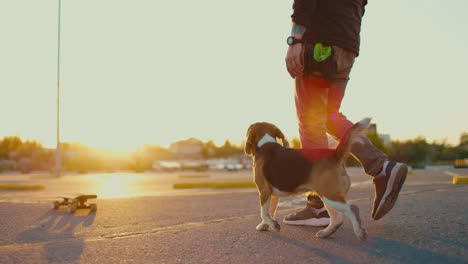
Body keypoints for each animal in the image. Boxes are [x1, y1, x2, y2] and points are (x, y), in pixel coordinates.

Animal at [243, 117, 372, 239]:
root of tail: (334, 155)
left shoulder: (264, 191)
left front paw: (274, 225)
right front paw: (264, 225)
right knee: (337, 219)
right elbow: (270, 211)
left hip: (329, 195)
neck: (264, 144)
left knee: (352, 209)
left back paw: (359, 232)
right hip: (328, 196)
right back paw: (325, 233)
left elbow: (263, 213)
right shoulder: (272, 195)